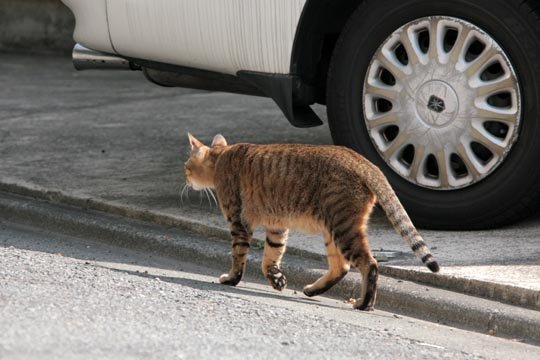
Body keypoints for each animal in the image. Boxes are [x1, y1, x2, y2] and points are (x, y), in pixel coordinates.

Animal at [185, 133, 438, 310]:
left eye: (186, 167)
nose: (185, 178)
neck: (222, 156)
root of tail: (364, 162)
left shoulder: (238, 222)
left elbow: (239, 256)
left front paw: (231, 278)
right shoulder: (277, 226)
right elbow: (271, 257)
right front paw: (277, 280)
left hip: (343, 227)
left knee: (370, 264)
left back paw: (364, 304)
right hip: (332, 230)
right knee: (341, 267)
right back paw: (313, 290)